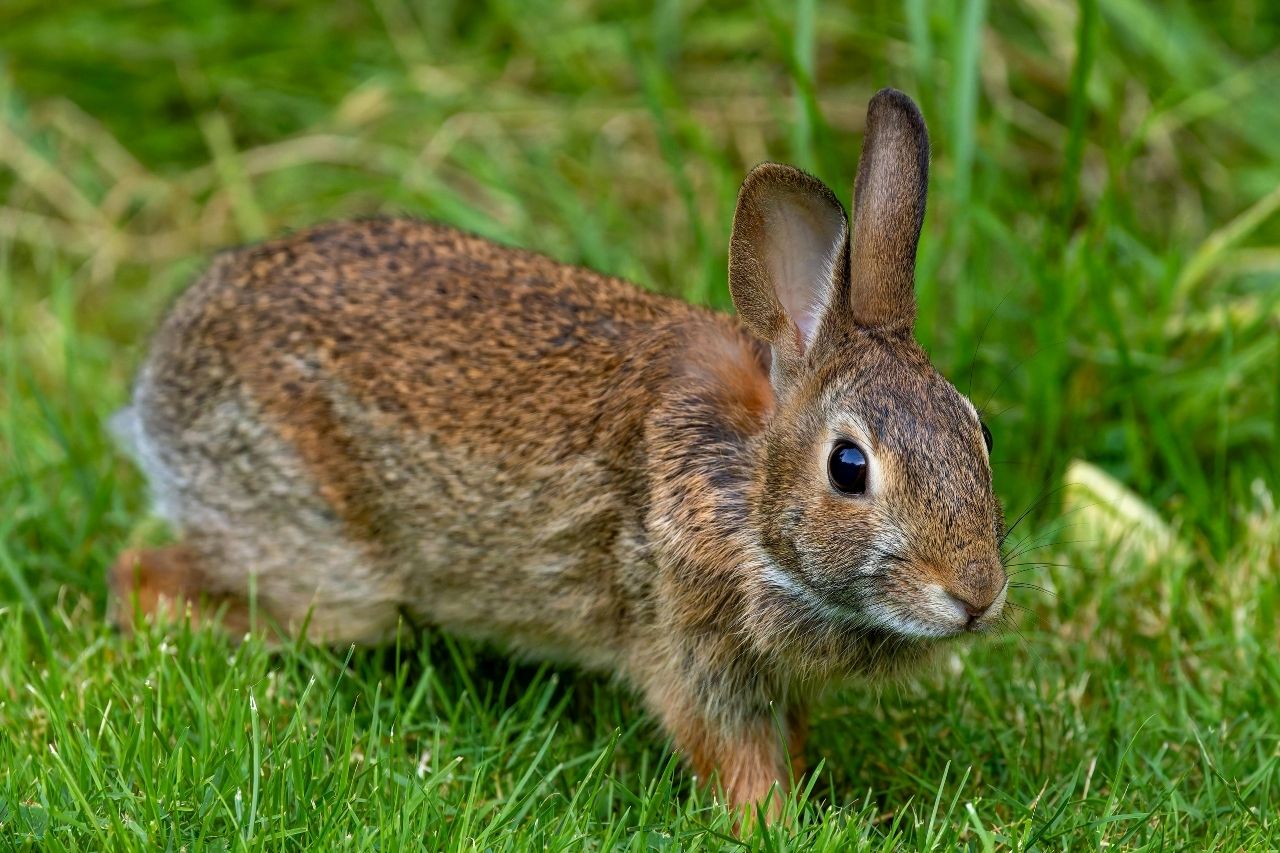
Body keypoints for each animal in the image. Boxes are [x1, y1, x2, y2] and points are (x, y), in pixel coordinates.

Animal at [110, 88, 1007, 820]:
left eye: (980, 432)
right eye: (848, 467)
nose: (977, 596)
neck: (746, 489)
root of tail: (161, 370)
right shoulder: (690, 649)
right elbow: (736, 758)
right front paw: (775, 825)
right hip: (324, 560)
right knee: (150, 576)